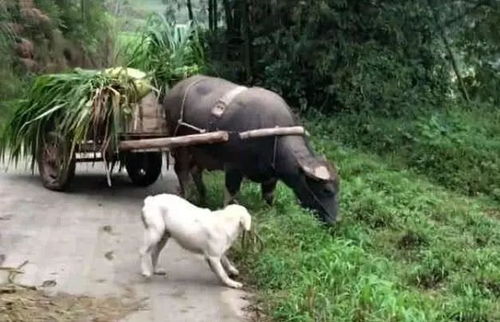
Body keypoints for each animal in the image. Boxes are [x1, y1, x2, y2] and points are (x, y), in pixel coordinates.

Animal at [164, 75, 340, 224]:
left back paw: (203, 198)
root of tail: (173, 91)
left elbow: (269, 197)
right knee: (182, 171)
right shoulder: (233, 169)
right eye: (327, 190)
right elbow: (231, 196)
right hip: (181, 146)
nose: (336, 221)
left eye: (338, 188)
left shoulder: (271, 177)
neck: (274, 136)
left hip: (200, 151)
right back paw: (187, 197)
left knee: (195, 171)